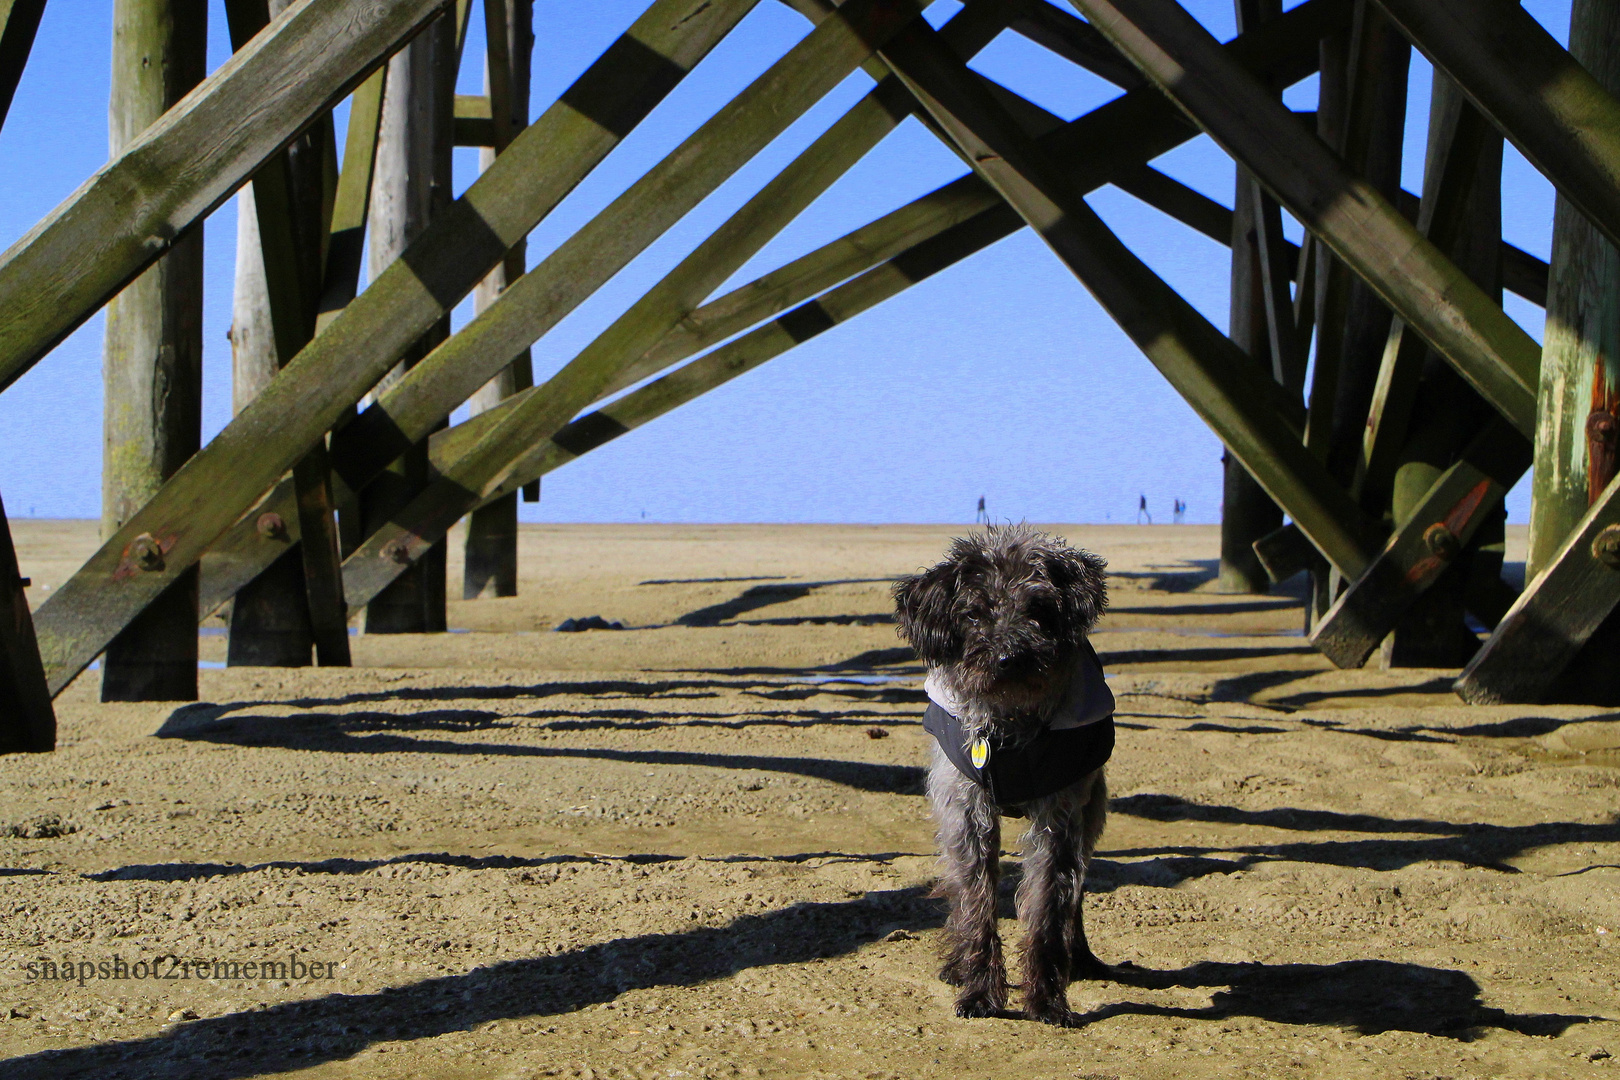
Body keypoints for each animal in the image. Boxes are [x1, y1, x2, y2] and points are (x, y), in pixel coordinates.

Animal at [887, 527, 1114, 1029]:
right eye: (974, 612)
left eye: (1040, 608)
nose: (1010, 657)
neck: (1010, 724)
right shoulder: (966, 814)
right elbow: (976, 904)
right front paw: (978, 992)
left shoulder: (1058, 818)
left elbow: (1049, 908)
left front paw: (1047, 1000)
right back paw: (956, 967)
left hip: (1091, 816)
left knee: (1078, 891)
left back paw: (1082, 957)